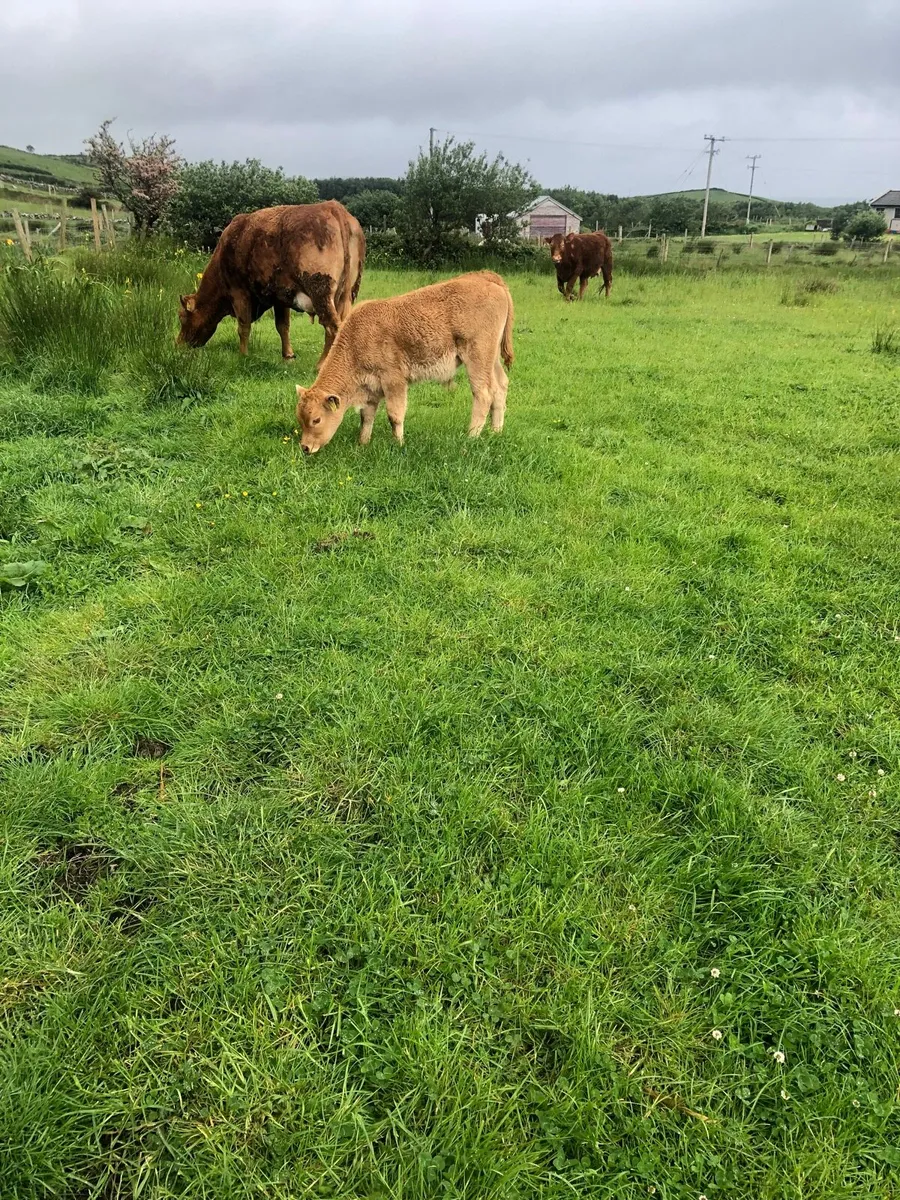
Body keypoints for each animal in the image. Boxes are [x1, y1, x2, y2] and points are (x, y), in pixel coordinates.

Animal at [177, 201, 365, 365]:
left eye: (181, 317)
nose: (178, 344)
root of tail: (333, 207)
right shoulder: (281, 296)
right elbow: (283, 326)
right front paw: (288, 356)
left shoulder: (239, 293)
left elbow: (243, 327)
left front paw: (243, 355)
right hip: (346, 295)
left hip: (321, 292)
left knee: (332, 327)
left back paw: (321, 365)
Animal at [294, 271, 514, 455]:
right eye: (300, 418)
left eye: (316, 419)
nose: (305, 447)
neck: (357, 339)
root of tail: (488, 278)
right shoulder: (371, 387)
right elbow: (366, 417)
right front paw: (363, 444)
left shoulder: (394, 381)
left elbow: (395, 415)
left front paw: (399, 444)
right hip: (491, 358)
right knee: (500, 386)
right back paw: (496, 431)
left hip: (477, 357)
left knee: (483, 393)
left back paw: (471, 436)